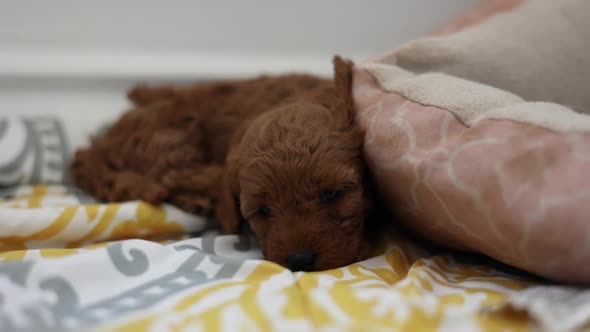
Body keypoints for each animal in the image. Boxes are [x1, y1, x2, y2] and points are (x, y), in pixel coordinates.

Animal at [71, 55, 376, 272]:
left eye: (333, 195)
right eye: (263, 211)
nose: (300, 261)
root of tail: (97, 147)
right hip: (171, 141)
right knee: (175, 177)